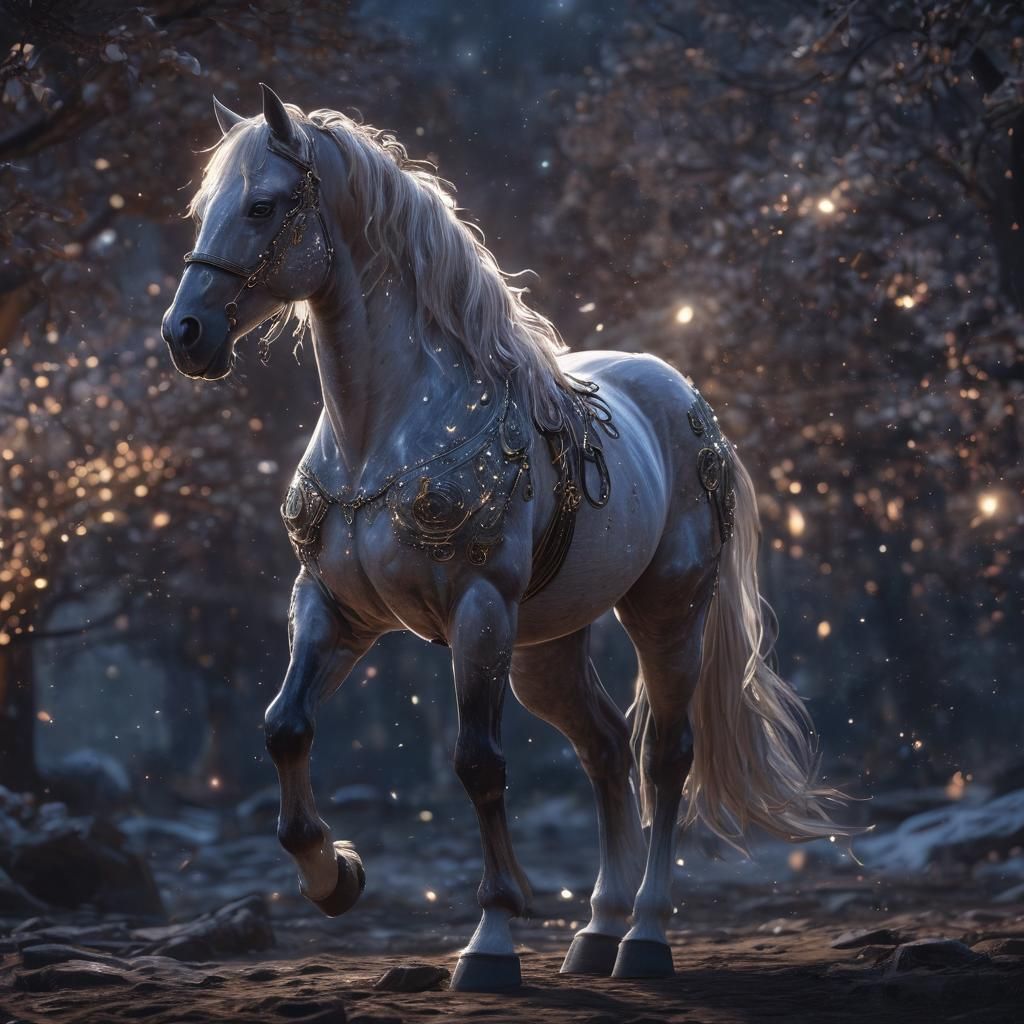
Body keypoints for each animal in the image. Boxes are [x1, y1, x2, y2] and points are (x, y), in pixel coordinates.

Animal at [162, 84, 848, 991]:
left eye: (264, 206)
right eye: (203, 208)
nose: (185, 334)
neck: (380, 434)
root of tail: (692, 406)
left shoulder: (478, 610)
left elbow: (478, 763)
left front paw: (490, 939)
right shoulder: (332, 607)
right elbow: (285, 726)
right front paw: (334, 875)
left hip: (667, 614)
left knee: (663, 757)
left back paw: (645, 937)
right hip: (545, 653)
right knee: (604, 749)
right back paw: (596, 931)